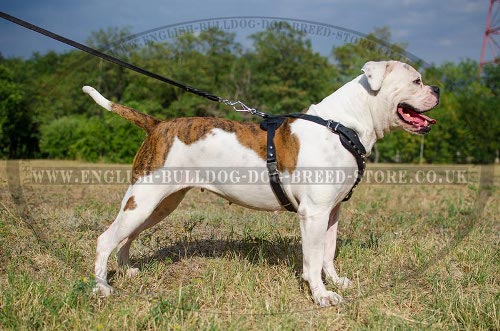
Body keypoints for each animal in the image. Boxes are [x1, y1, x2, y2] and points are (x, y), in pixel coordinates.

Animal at [84, 61, 440, 308]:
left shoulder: (332, 212)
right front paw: (321, 295)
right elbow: (312, 260)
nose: (437, 88)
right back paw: (102, 287)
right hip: (143, 201)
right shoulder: (313, 214)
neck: (342, 125)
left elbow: (327, 253)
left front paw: (336, 282)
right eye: (416, 80)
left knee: (127, 236)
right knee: (105, 239)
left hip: (159, 205)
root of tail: (157, 125)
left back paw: (127, 269)